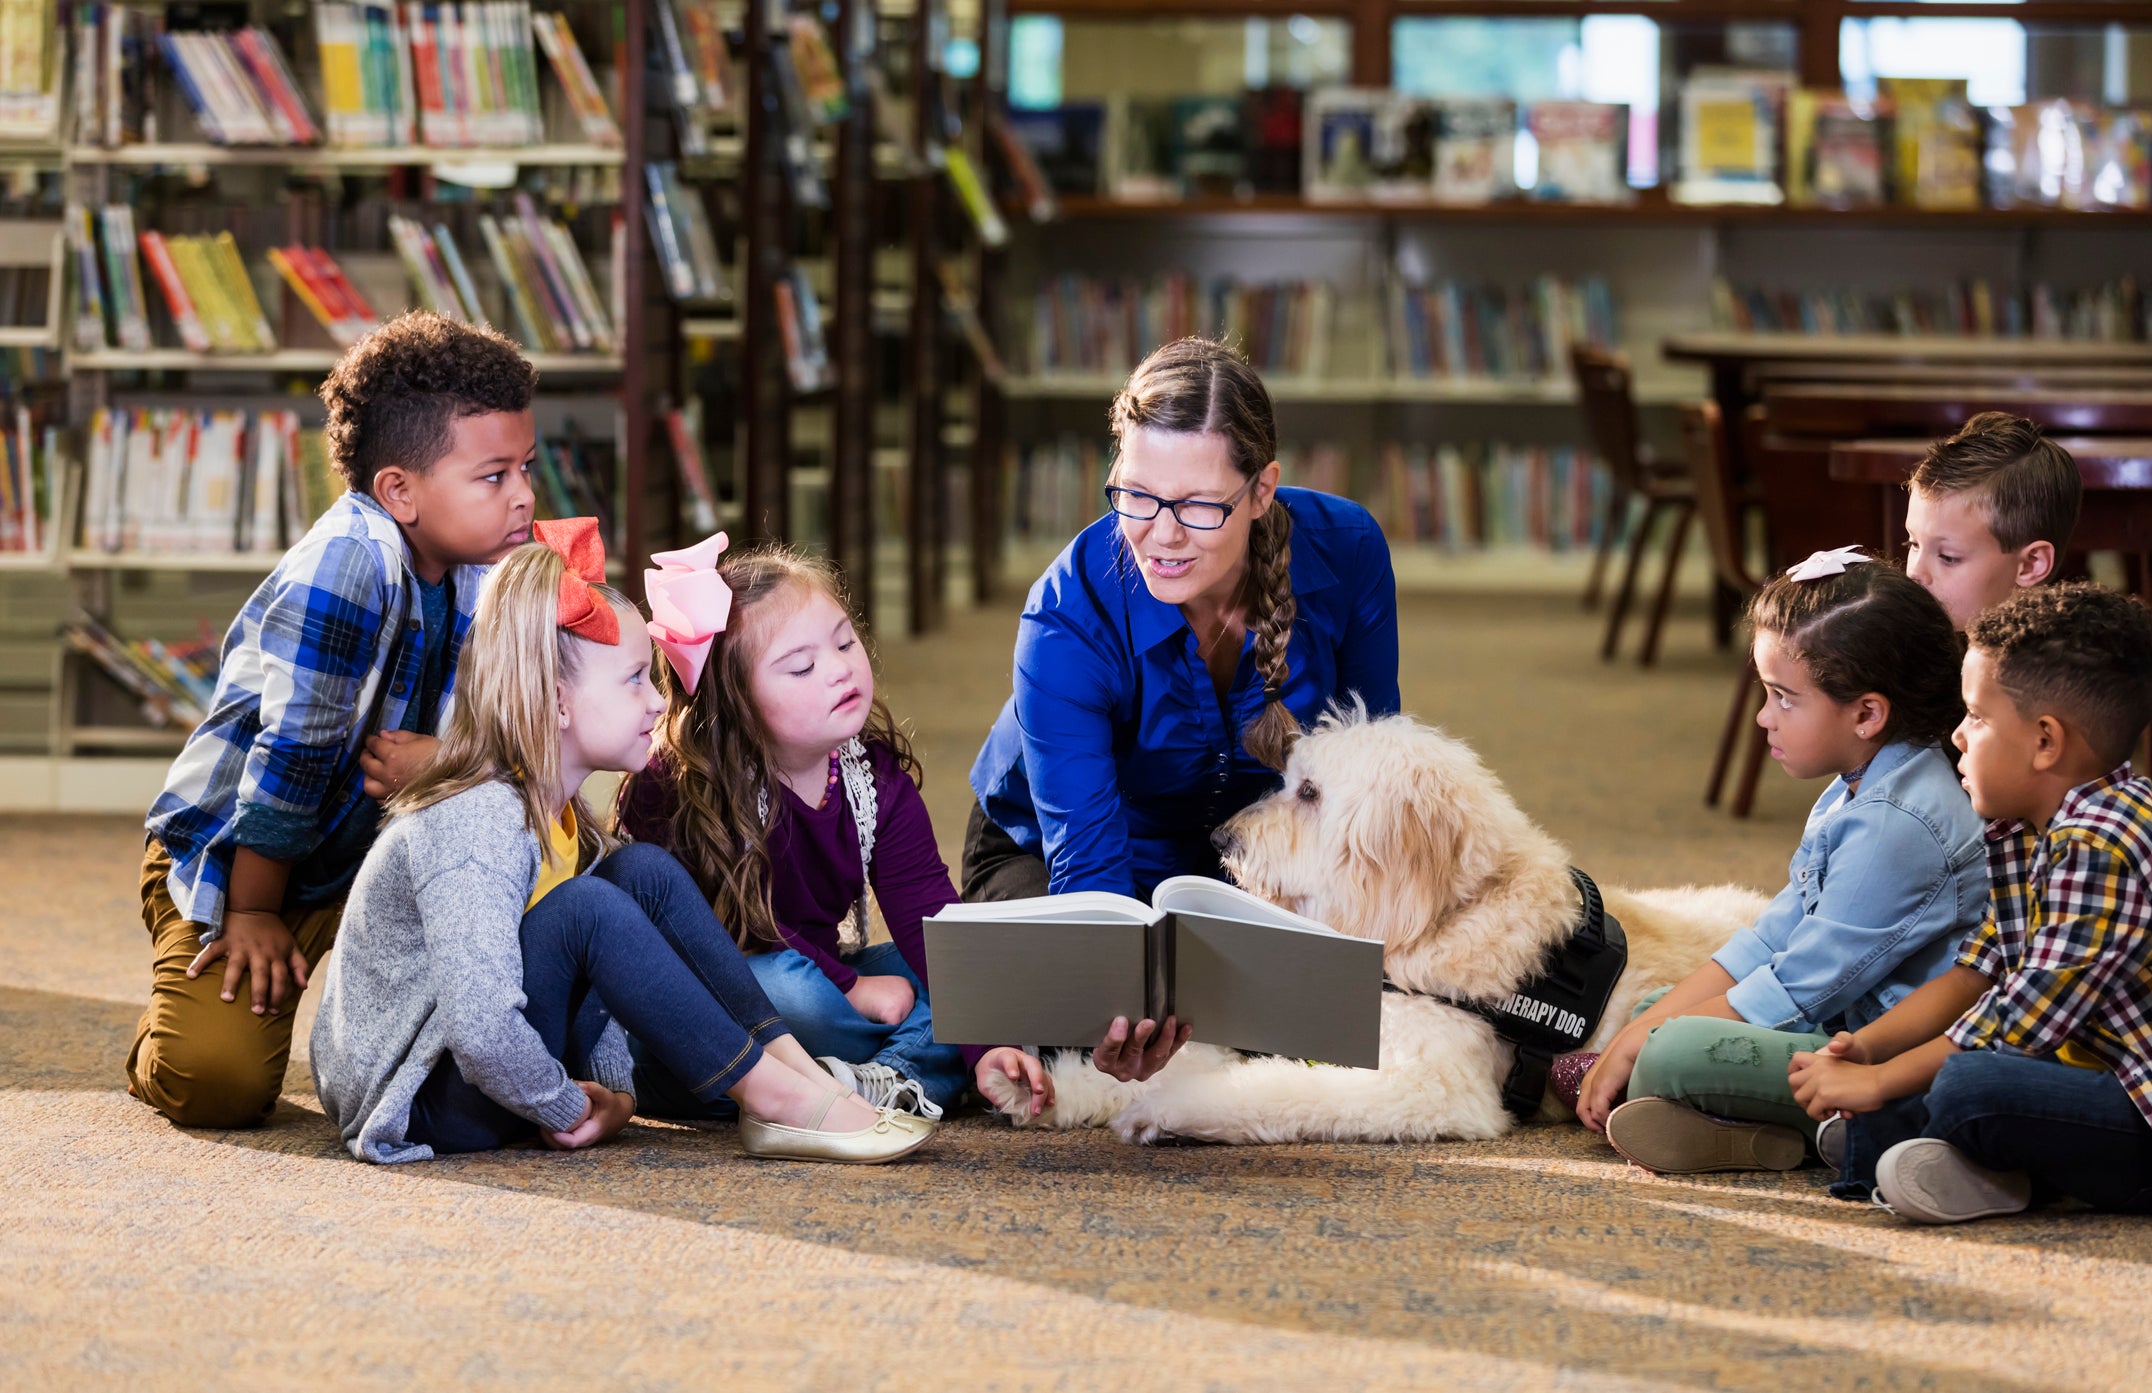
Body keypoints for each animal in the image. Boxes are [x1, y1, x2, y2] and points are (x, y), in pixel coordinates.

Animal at [977, 710, 1764, 1145]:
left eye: (1309, 792)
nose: (1224, 838)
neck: (1445, 920)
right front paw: (1042, 1089)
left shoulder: (1429, 1084)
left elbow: (1274, 1090)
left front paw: (1166, 1108)